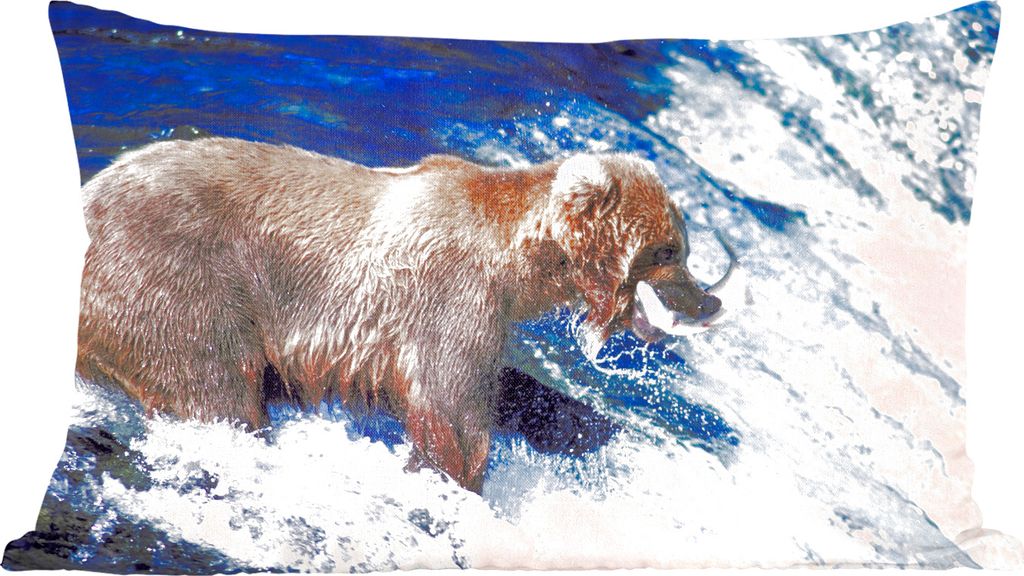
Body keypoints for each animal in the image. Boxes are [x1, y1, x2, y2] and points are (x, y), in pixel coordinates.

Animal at [75, 137, 723, 492]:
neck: (519, 261)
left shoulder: (478, 318)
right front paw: (459, 479)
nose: (709, 299)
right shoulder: (450, 297)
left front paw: (589, 427)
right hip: (174, 283)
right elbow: (451, 411)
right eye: (669, 250)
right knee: (215, 389)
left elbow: (507, 388)